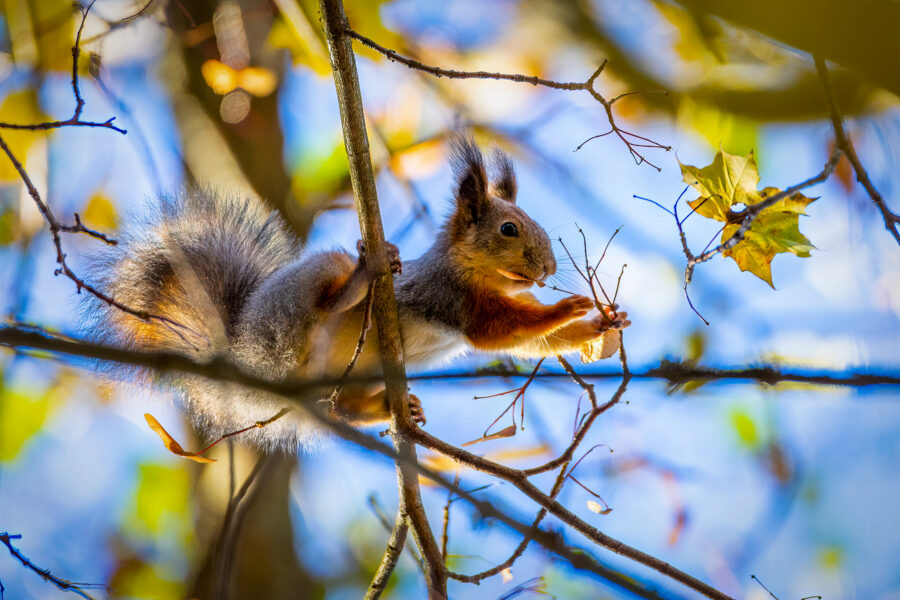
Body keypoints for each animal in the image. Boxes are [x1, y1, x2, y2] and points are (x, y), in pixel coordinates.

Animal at [88, 138, 629, 452]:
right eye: (509, 229)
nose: (549, 268)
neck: (477, 274)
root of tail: (243, 356)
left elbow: (533, 342)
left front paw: (601, 324)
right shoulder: (451, 297)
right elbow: (502, 330)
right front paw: (569, 307)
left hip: (344, 381)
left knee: (340, 408)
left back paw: (391, 408)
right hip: (295, 315)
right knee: (325, 303)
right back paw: (356, 284)